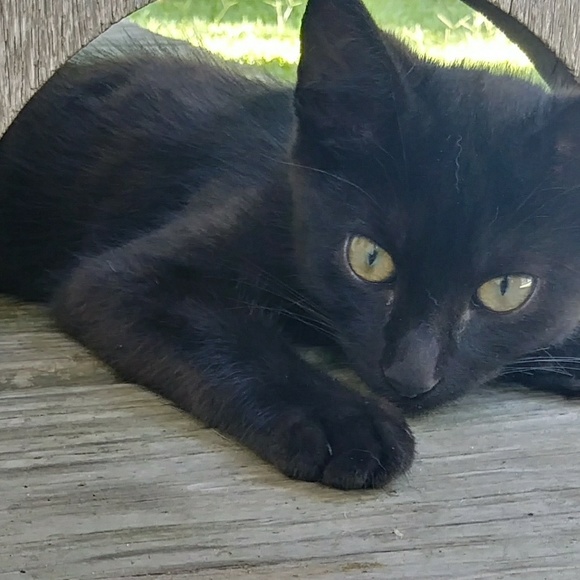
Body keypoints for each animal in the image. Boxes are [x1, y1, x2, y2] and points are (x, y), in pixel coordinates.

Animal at [1, 0, 580, 491]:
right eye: (369, 258)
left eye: (507, 289)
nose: (409, 377)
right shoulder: (130, 276)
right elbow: (230, 335)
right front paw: (344, 422)